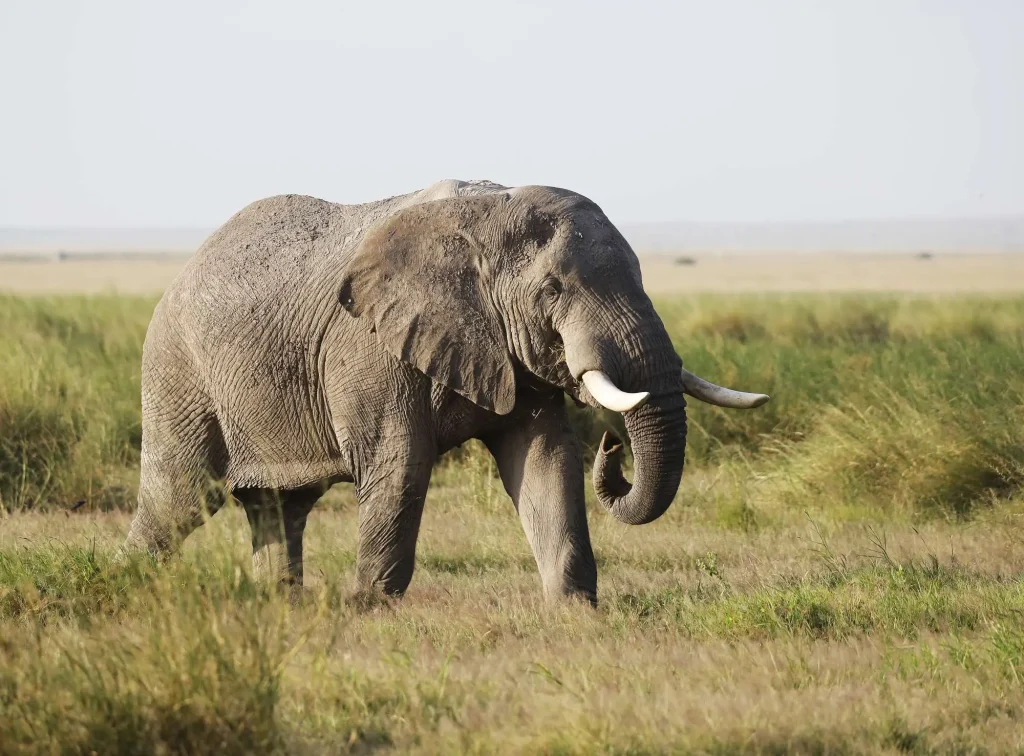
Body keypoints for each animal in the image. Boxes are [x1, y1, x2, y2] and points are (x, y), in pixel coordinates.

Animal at [122, 179, 768, 604]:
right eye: (553, 289)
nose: (614, 450)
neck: (485, 213)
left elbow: (546, 461)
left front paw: (576, 615)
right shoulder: (371, 346)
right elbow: (400, 467)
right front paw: (369, 616)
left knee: (280, 508)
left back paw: (279, 610)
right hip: (177, 369)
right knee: (178, 498)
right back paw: (123, 588)